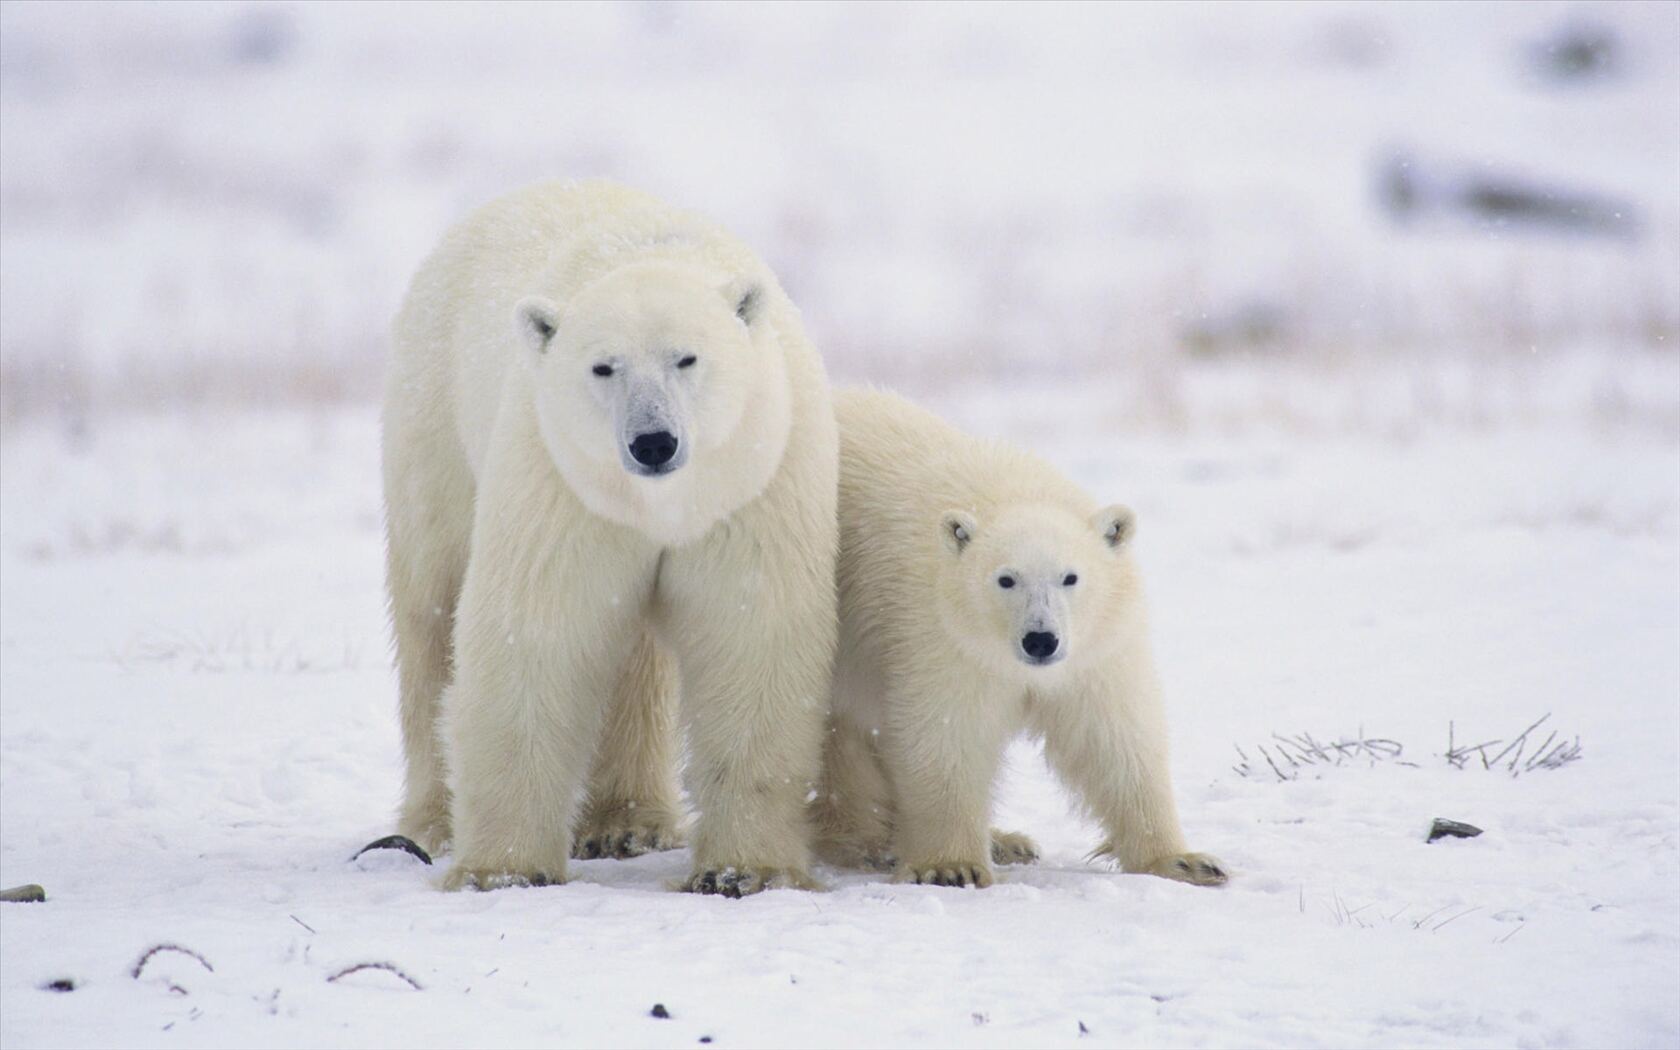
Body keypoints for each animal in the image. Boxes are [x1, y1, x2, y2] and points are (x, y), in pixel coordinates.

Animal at [389, 179, 840, 893]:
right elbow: (537, 632)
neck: (660, 505)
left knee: (635, 659)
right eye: (604, 367)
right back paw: (432, 822)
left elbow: (751, 637)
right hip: (433, 419)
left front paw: (743, 870)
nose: (653, 442)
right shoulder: (562, 482)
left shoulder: (754, 481)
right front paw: (505, 870)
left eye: (687, 357)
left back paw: (629, 823)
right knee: (431, 610)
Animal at [813, 389, 1223, 887]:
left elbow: (1113, 737)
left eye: (1071, 577)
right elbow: (948, 733)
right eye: (1005, 579)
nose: (1040, 640)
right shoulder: (940, 635)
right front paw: (951, 866)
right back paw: (865, 840)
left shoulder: (1096, 648)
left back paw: (1007, 841)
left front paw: (1185, 861)